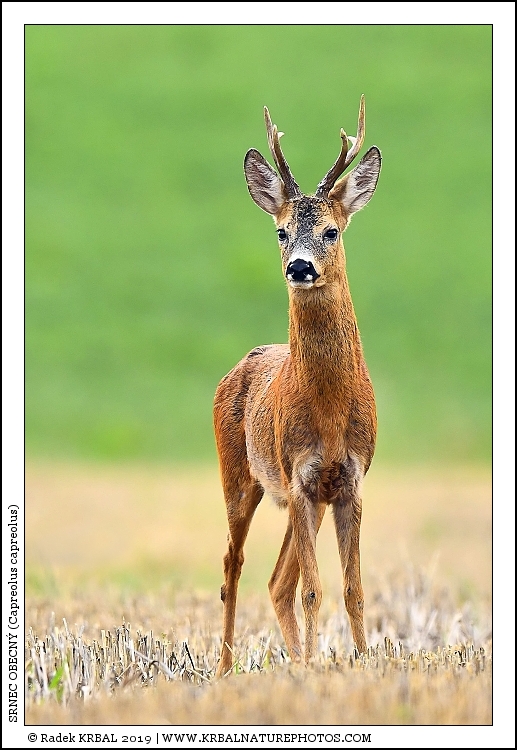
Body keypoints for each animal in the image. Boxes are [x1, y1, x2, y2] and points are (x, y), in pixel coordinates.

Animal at [213, 95, 381, 678]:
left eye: (332, 231)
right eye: (281, 231)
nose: (300, 267)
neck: (330, 411)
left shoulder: (347, 481)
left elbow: (353, 589)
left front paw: (363, 663)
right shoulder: (302, 477)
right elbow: (315, 589)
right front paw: (314, 667)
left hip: (289, 494)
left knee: (276, 581)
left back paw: (290, 660)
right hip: (242, 478)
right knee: (233, 567)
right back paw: (225, 668)